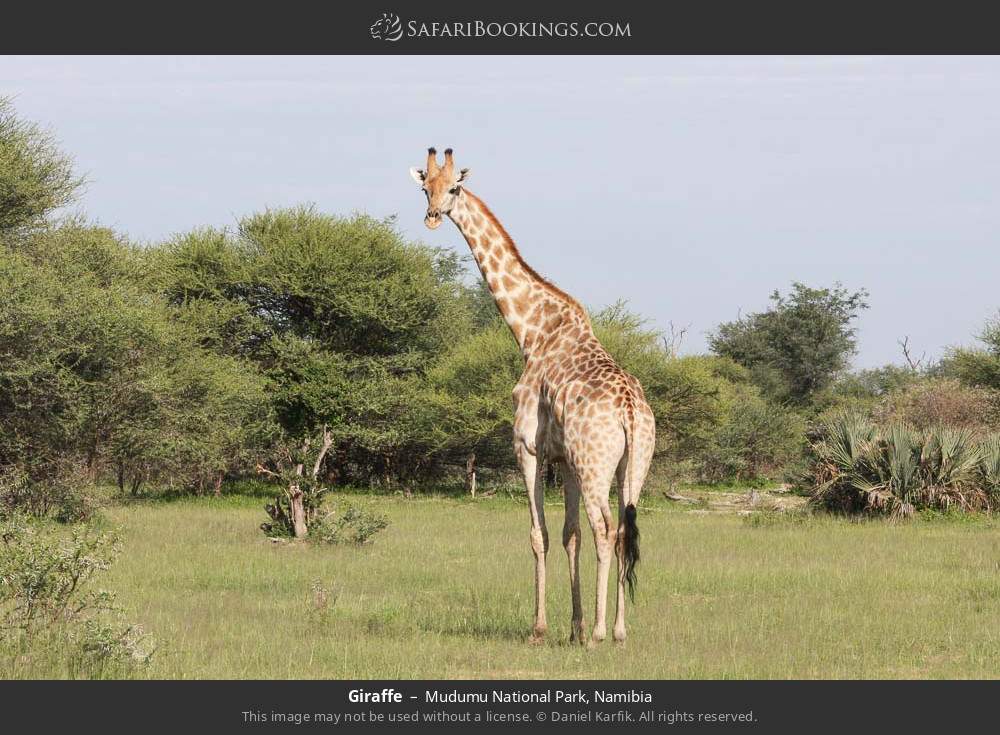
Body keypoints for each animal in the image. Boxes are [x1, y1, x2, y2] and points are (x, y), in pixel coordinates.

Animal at [408, 150, 656, 644]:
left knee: (606, 529)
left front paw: (542, 629)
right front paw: (573, 627)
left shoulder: (528, 448)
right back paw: (618, 631)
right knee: (624, 529)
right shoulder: (568, 462)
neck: (532, 332)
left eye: (454, 188)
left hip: (597, 465)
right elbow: (569, 534)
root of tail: (630, 410)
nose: (432, 217)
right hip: (633, 464)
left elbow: (538, 534)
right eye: (425, 187)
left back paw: (601, 633)